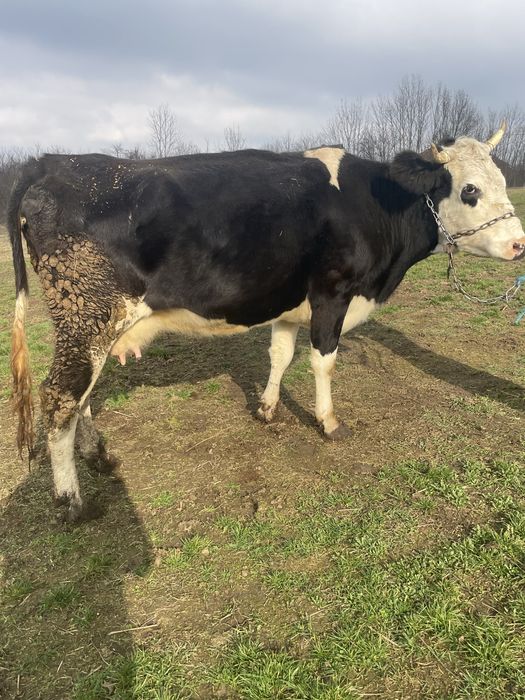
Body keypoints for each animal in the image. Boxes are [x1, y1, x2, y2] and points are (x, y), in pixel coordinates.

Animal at [9, 124, 525, 521]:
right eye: (470, 189)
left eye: (503, 181)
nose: (519, 244)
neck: (373, 207)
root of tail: (51, 162)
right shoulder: (332, 295)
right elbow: (322, 362)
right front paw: (328, 422)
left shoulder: (289, 304)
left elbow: (280, 355)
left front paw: (267, 408)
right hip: (86, 315)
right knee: (60, 399)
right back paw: (72, 502)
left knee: (81, 397)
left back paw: (98, 456)